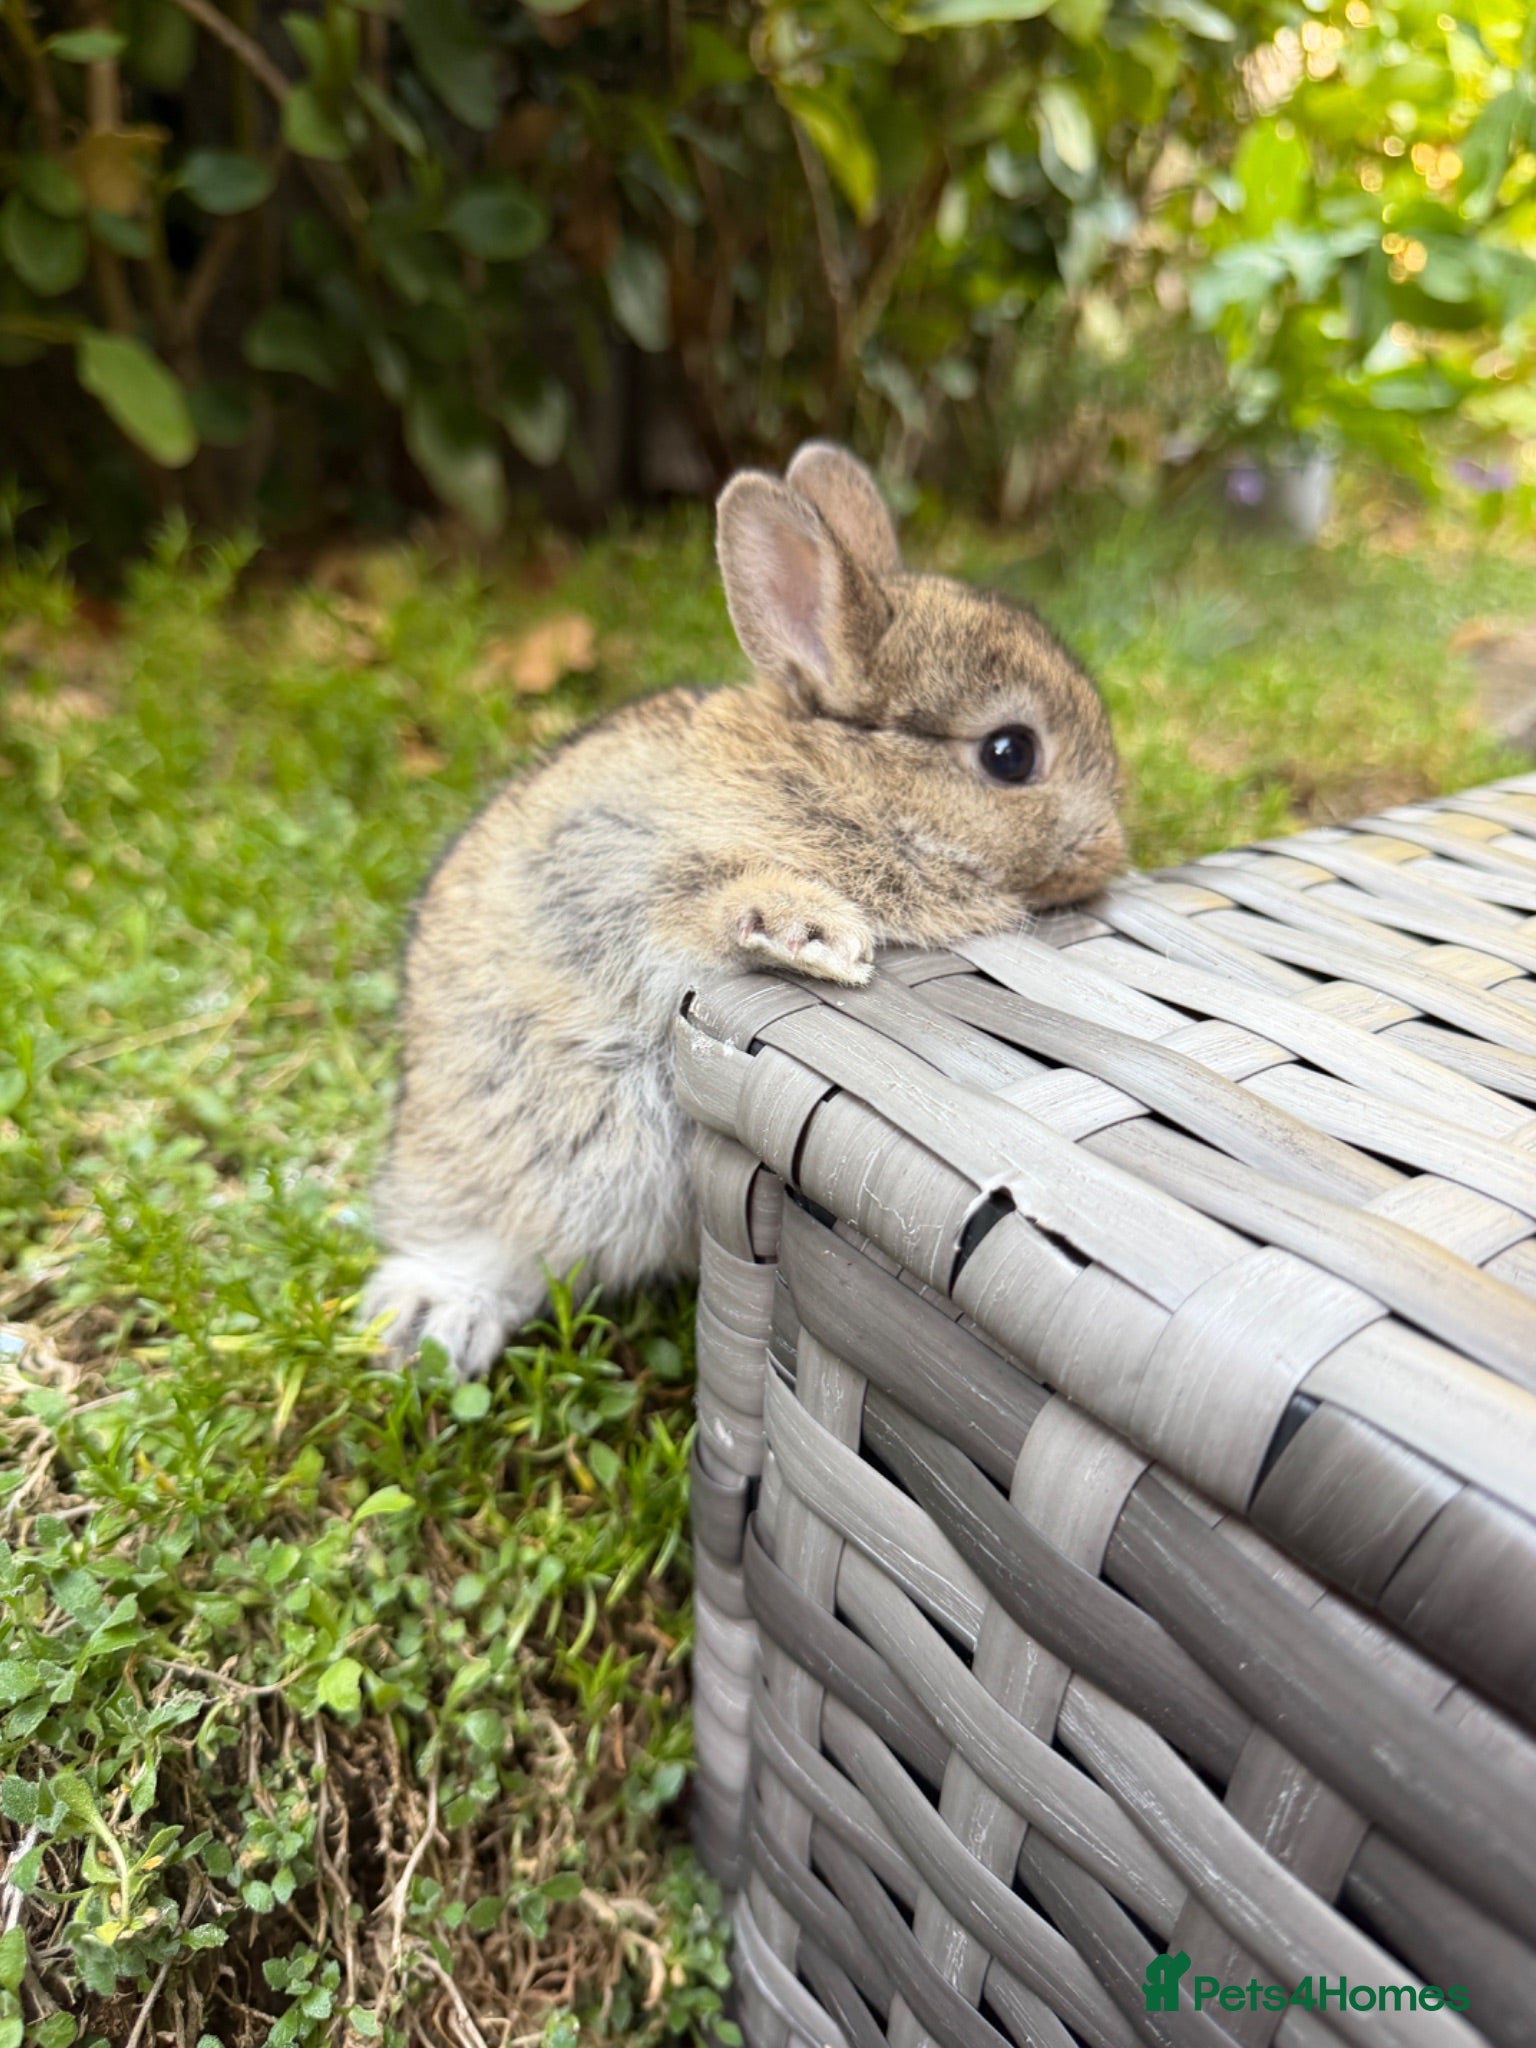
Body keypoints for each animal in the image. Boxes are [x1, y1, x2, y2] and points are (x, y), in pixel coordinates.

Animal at [362, 442, 1124, 1376]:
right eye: (1010, 754)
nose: (1112, 847)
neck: (851, 781)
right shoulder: (644, 871)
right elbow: (715, 897)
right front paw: (825, 939)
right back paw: (428, 1326)